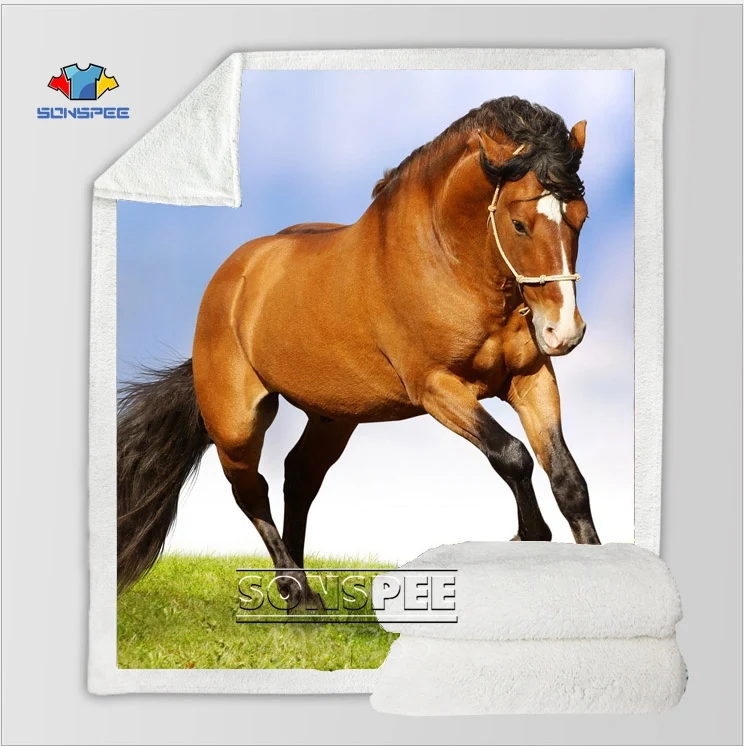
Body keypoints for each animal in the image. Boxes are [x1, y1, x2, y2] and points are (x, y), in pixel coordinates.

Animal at [117, 96, 601, 605]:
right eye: (519, 224)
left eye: (581, 216)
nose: (564, 332)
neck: (449, 263)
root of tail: (232, 279)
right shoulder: (437, 388)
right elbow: (512, 455)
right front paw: (529, 536)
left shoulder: (531, 380)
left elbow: (568, 480)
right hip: (237, 422)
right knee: (250, 490)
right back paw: (297, 593)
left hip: (333, 416)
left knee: (299, 476)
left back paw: (302, 584)